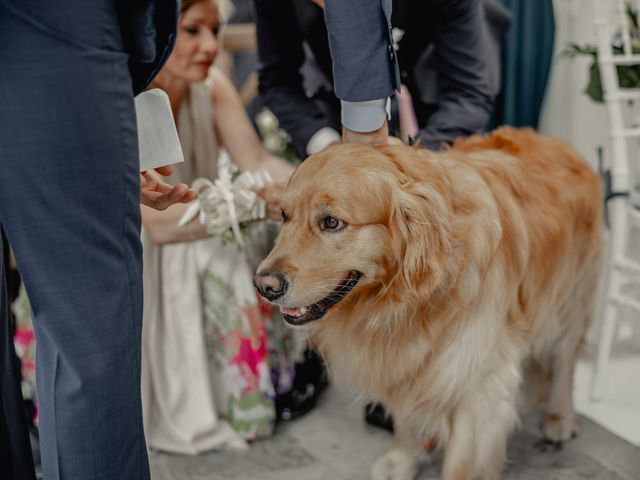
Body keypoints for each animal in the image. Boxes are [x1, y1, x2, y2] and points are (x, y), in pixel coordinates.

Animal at [252, 128, 604, 480]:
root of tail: (557, 141)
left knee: (565, 361)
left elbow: (463, 462)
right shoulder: (407, 361)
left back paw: (560, 416)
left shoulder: (479, 379)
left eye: (331, 222)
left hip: (569, 301)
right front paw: (402, 459)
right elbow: (407, 417)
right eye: (284, 215)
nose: (263, 286)